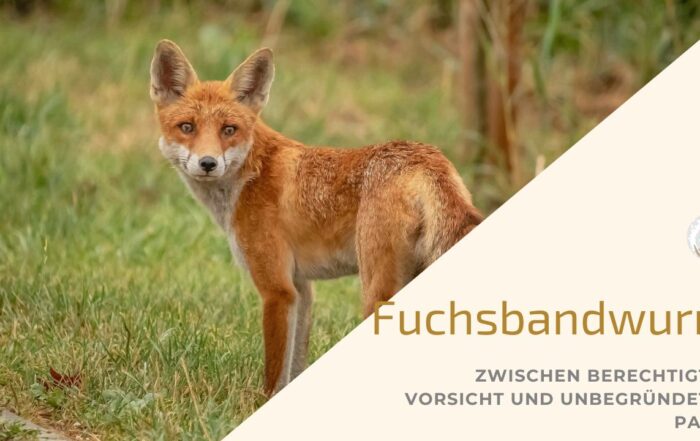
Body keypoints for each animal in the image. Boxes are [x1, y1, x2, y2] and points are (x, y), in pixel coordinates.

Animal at [149, 40, 483, 396]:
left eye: (229, 130)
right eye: (187, 127)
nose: (208, 163)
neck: (250, 175)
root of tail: (427, 158)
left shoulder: (277, 290)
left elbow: (274, 374)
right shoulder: (301, 288)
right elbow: (295, 366)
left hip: (376, 291)